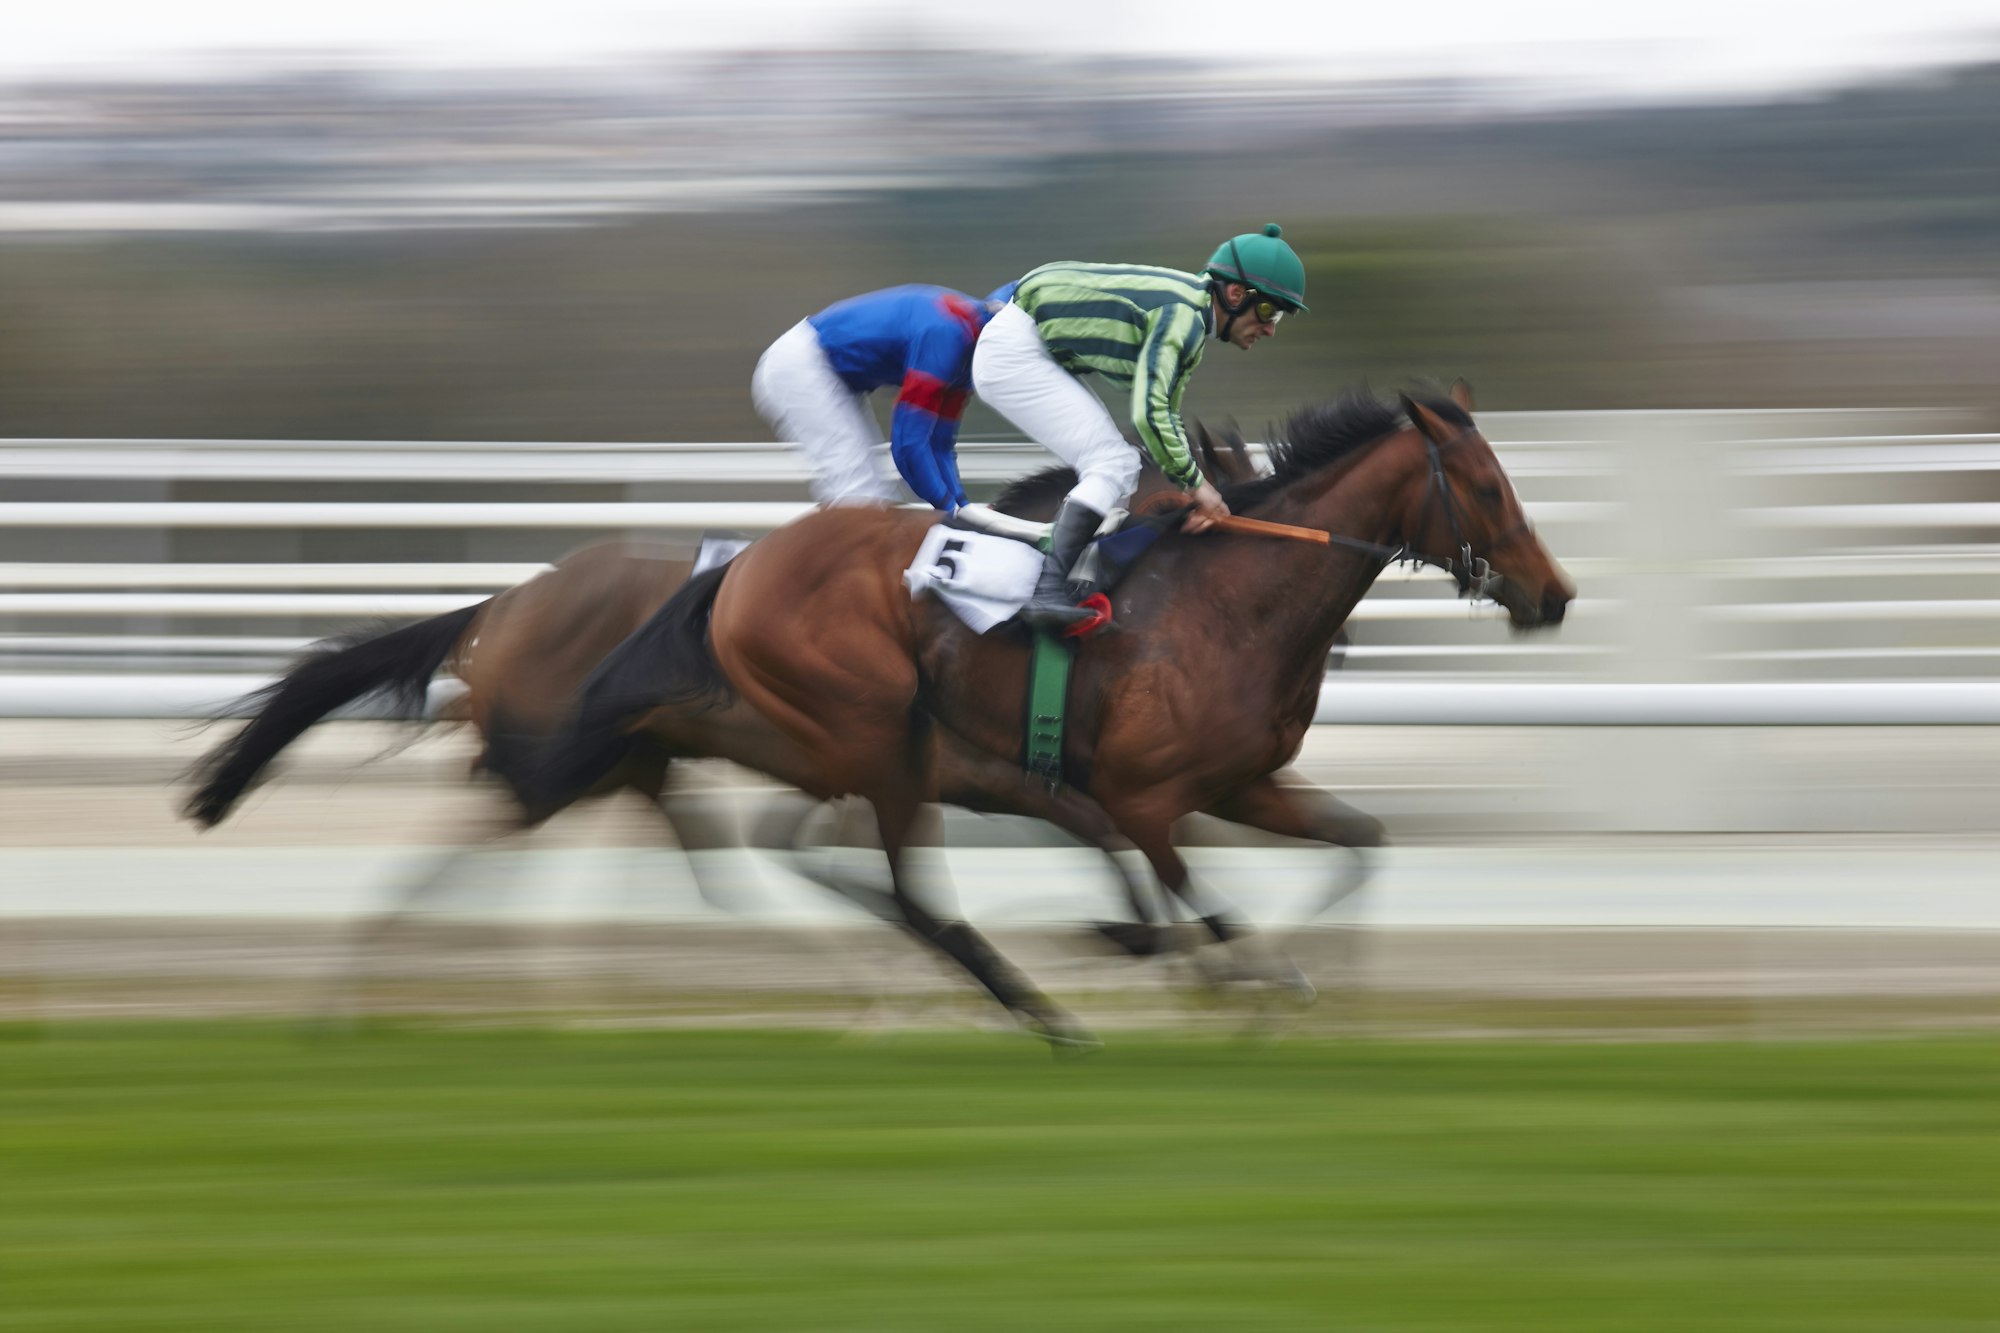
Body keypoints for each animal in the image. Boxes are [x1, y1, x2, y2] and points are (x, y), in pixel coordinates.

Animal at [488, 382, 1576, 1040]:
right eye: (1487, 487)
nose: (1553, 594)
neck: (1231, 601)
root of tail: (742, 565)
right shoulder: (1140, 797)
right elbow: (1199, 903)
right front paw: (1229, 979)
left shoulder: (1239, 785)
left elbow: (1359, 842)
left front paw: (1302, 983)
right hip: (879, 741)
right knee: (905, 890)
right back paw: (1042, 1011)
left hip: (867, 757)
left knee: (835, 863)